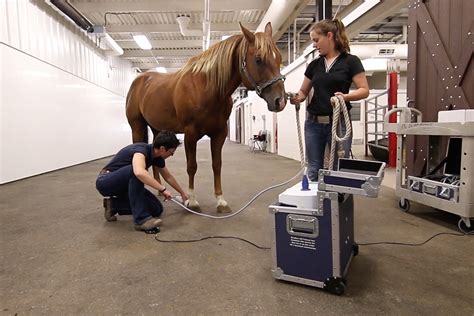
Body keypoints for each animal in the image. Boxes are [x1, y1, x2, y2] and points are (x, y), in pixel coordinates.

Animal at [125, 22, 286, 212]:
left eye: (279, 57)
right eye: (259, 59)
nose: (280, 101)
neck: (207, 88)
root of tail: (140, 80)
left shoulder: (219, 134)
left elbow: (217, 165)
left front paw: (221, 201)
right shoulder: (190, 134)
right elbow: (192, 166)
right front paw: (192, 201)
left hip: (157, 129)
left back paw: (158, 188)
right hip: (137, 126)